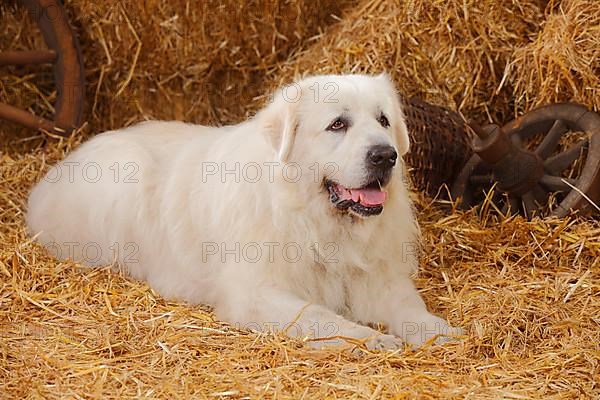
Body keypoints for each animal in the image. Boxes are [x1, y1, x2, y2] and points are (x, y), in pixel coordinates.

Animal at [27, 73, 460, 348]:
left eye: (383, 120)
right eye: (338, 124)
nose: (385, 155)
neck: (312, 219)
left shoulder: (379, 279)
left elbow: (410, 307)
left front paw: (439, 331)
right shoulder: (257, 294)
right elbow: (321, 317)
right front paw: (374, 341)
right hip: (125, 176)